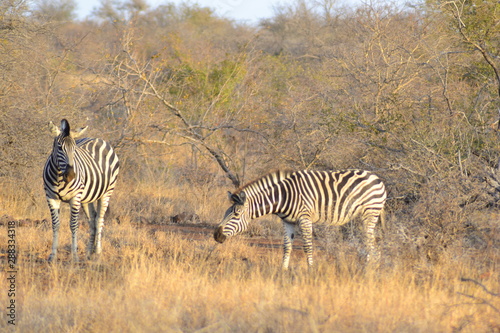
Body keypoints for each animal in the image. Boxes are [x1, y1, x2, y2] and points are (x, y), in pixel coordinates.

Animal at [43, 119, 120, 262]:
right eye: (59, 147)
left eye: (74, 149)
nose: (71, 175)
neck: (59, 177)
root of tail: (98, 139)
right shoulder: (51, 197)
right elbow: (55, 225)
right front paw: (52, 256)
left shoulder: (75, 198)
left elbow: (73, 225)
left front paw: (74, 256)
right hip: (86, 198)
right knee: (92, 220)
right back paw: (89, 252)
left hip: (106, 193)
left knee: (99, 219)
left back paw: (98, 252)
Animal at [214, 170, 386, 268]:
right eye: (225, 213)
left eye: (236, 215)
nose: (216, 235)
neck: (282, 197)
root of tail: (377, 178)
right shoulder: (287, 221)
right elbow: (287, 246)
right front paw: (283, 270)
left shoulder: (305, 218)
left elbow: (308, 246)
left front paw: (311, 270)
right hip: (361, 218)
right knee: (370, 244)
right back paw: (368, 268)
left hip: (369, 214)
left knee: (372, 244)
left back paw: (371, 270)